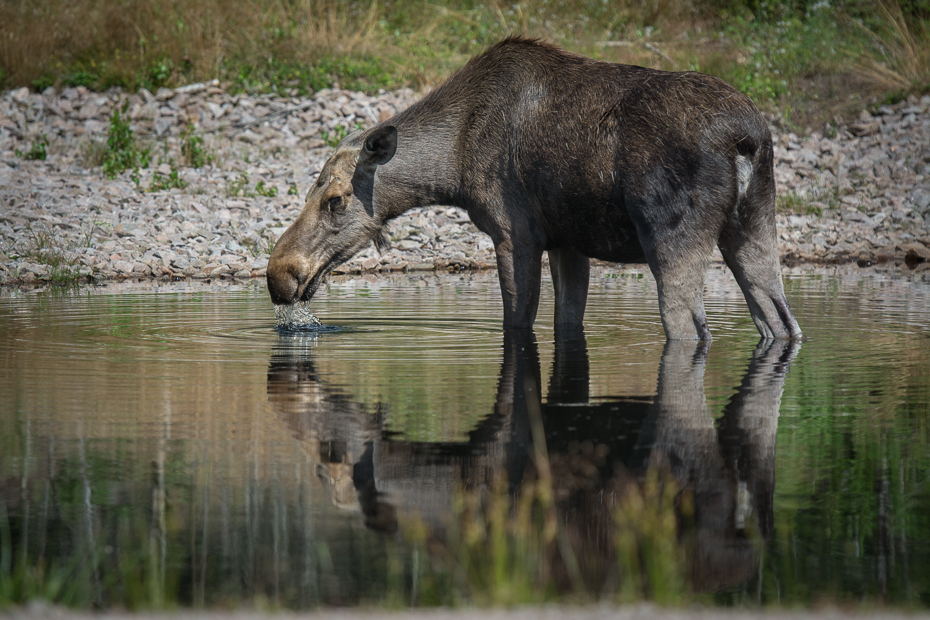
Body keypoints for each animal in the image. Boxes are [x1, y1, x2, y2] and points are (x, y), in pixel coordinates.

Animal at [264, 36, 800, 342]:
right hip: (754, 226)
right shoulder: (568, 241)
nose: (279, 275)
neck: (454, 166)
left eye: (335, 200)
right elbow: (566, 321)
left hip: (672, 235)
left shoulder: (514, 234)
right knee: (781, 322)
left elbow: (517, 323)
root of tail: (745, 139)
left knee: (691, 329)